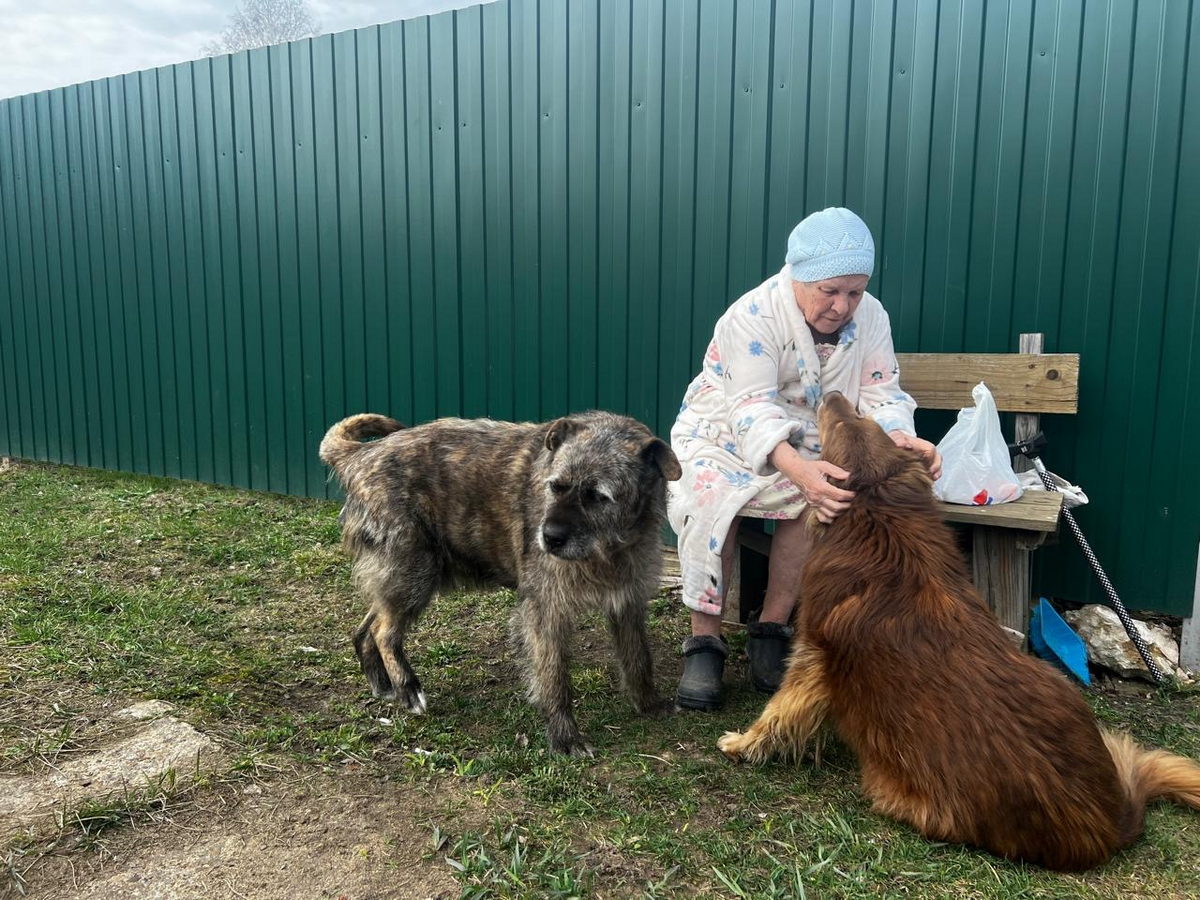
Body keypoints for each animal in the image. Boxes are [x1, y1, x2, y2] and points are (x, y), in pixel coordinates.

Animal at [320, 410, 681, 756]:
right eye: (555, 487)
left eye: (598, 497)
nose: (549, 538)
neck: (610, 547)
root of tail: (362, 455)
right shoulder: (545, 611)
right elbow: (554, 677)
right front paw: (564, 736)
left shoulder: (628, 601)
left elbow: (638, 658)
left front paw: (648, 703)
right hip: (413, 574)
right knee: (383, 631)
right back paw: (407, 687)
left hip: (405, 579)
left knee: (367, 627)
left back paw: (384, 685)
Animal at [717, 391, 1200, 870]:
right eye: (860, 421)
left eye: (844, 423)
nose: (834, 395)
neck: (880, 513)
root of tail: (1107, 825)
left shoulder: (812, 657)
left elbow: (779, 710)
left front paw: (741, 743)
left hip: (897, 791)